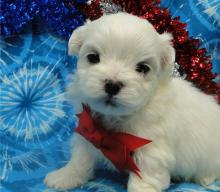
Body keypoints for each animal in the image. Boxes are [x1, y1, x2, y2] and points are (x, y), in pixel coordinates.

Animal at [44, 12, 220, 191]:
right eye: (93, 57)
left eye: (143, 68)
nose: (112, 85)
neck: (116, 118)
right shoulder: (89, 131)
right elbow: (80, 158)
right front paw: (65, 176)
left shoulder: (151, 149)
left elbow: (145, 178)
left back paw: (205, 177)